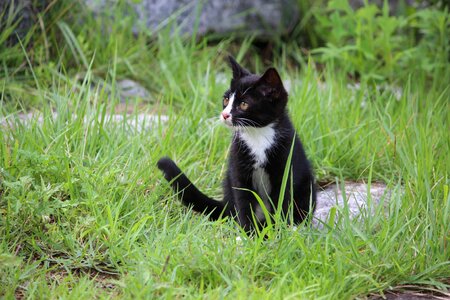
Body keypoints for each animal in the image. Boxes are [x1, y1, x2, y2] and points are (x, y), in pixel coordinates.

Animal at [158, 56, 316, 232]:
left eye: (244, 104)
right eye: (226, 99)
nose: (224, 114)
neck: (257, 136)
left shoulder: (285, 164)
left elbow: (282, 201)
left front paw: (277, 230)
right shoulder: (238, 167)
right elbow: (244, 202)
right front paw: (250, 233)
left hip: (307, 185)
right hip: (228, 182)